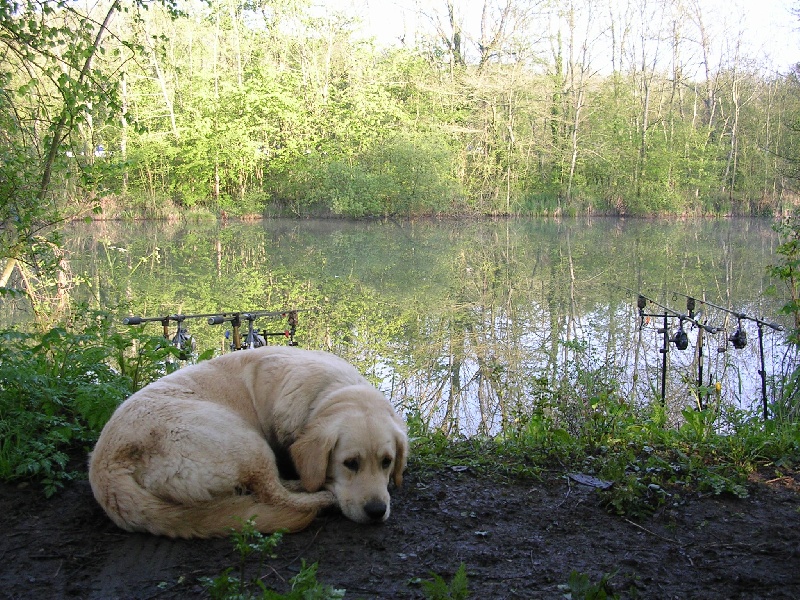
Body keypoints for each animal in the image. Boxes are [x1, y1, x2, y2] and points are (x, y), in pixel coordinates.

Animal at [88, 346, 408, 538]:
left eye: (387, 462)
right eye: (350, 463)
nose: (377, 511)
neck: (330, 391)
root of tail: (106, 471)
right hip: (246, 441)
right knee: (274, 494)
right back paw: (321, 498)